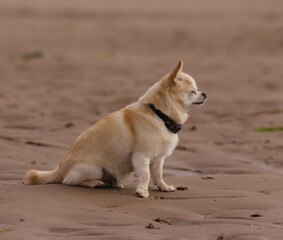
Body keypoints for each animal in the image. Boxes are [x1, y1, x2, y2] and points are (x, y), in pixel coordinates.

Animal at [23, 61, 207, 198]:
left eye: (197, 90)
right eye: (193, 92)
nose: (205, 93)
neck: (159, 114)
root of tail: (59, 168)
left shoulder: (158, 159)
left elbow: (158, 174)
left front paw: (164, 187)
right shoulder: (141, 156)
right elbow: (146, 174)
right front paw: (142, 191)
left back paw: (114, 183)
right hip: (94, 168)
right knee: (68, 181)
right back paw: (94, 183)